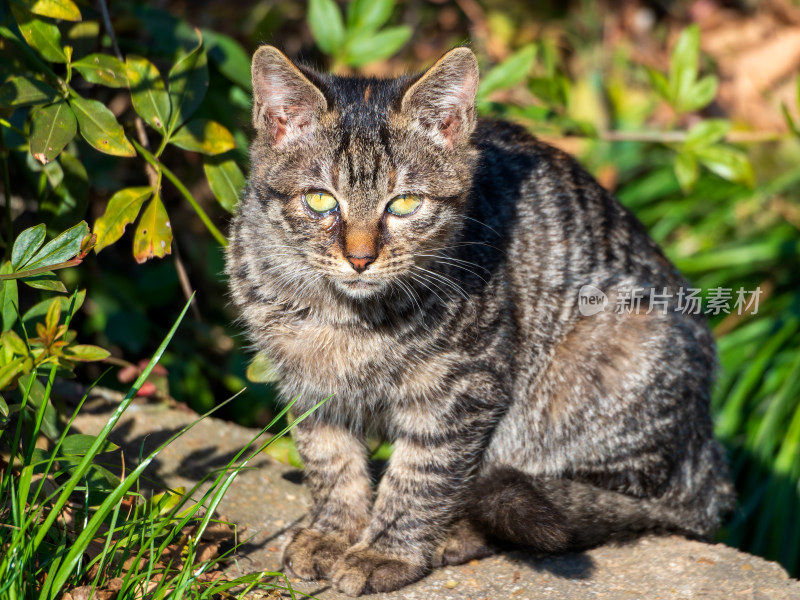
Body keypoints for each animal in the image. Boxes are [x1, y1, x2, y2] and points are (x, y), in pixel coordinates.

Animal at [223, 45, 732, 596]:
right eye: (320, 199)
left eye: (404, 203)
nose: (360, 258)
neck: (346, 318)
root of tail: (707, 466)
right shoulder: (310, 387)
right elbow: (330, 462)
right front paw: (333, 532)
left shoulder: (463, 387)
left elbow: (421, 477)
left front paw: (386, 551)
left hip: (615, 349)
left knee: (581, 501)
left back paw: (458, 532)